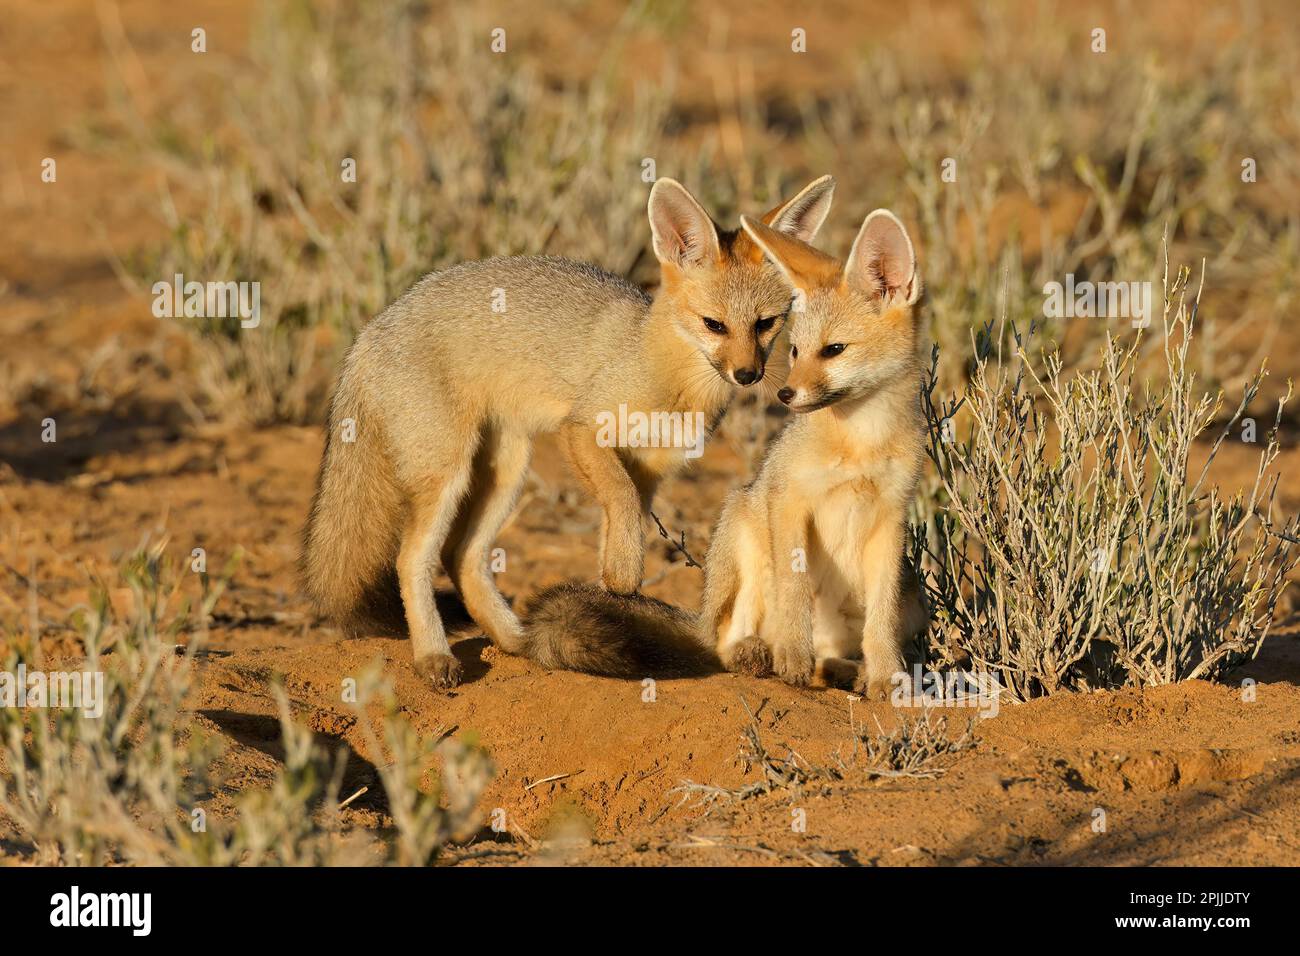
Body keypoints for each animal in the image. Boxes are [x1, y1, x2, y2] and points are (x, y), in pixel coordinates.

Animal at [301, 175, 837, 689]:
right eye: (714, 325)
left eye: (766, 324)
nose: (747, 375)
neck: (664, 373)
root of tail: (368, 333)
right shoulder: (583, 430)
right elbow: (620, 500)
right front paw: (623, 577)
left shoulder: (649, 470)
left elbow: (623, 520)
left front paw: (613, 588)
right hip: (449, 473)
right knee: (412, 559)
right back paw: (434, 654)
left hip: (505, 472)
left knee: (462, 557)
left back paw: (519, 640)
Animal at [521, 206, 929, 698]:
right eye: (795, 350)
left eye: (834, 350)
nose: (785, 394)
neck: (860, 444)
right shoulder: (788, 499)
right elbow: (794, 592)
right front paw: (792, 658)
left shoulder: (891, 517)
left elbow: (880, 619)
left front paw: (886, 676)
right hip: (741, 523)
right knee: (726, 641)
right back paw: (759, 654)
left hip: (913, 599)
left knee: (834, 653)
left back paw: (846, 670)